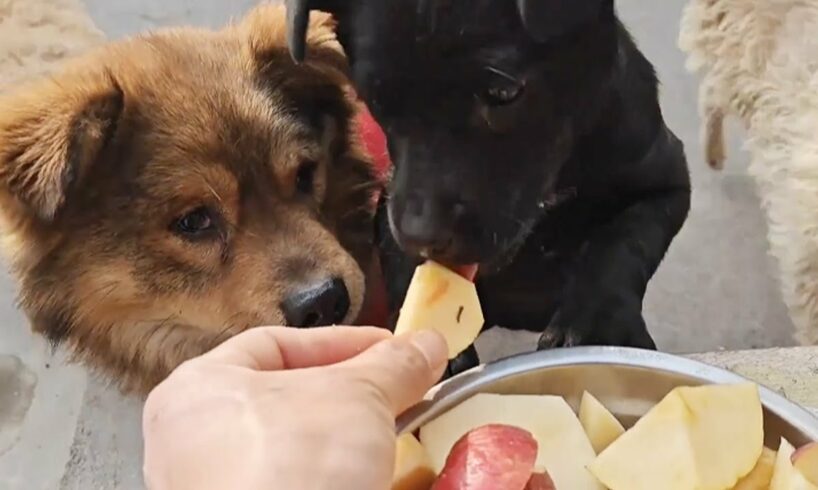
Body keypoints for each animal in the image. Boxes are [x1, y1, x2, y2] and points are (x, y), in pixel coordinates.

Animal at [286, 0, 688, 376]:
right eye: (373, 99)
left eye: (503, 92)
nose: (420, 235)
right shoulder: (389, 206)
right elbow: (403, 268)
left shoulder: (666, 183)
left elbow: (621, 243)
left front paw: (596, 323)